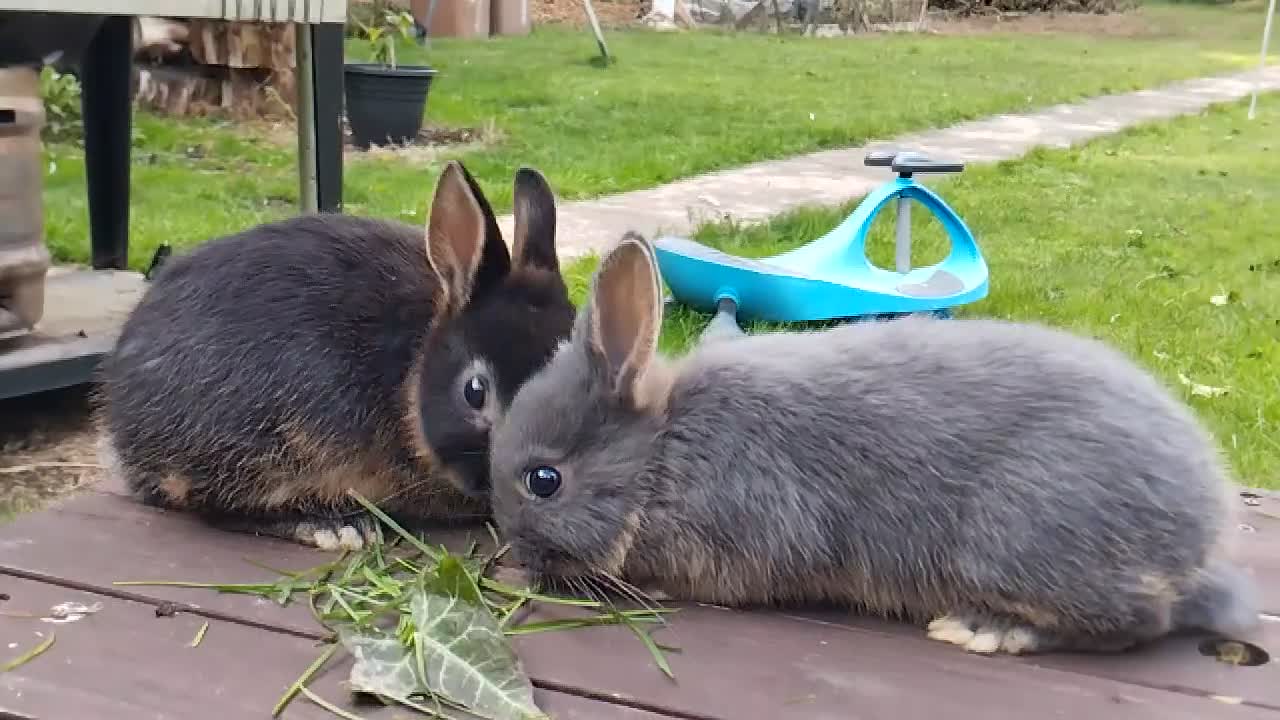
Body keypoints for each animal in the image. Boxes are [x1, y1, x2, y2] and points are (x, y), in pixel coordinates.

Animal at [487, 232, 1260, 656]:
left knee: (1138, 620)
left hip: (1017, 541)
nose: (514, 555)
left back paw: (984, 630)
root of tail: (1198, 533)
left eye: (544, 481)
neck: (661, 454)